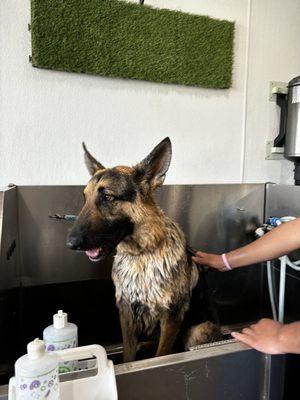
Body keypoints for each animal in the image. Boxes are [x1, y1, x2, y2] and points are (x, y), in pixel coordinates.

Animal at [66, 138, 220, 362]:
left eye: (109, 197)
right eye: (85, 198)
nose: (70, 244)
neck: (142, 255)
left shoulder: (171, 317)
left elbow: (162, 353)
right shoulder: (127, 313)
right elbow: (128, 354)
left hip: (199, 332)